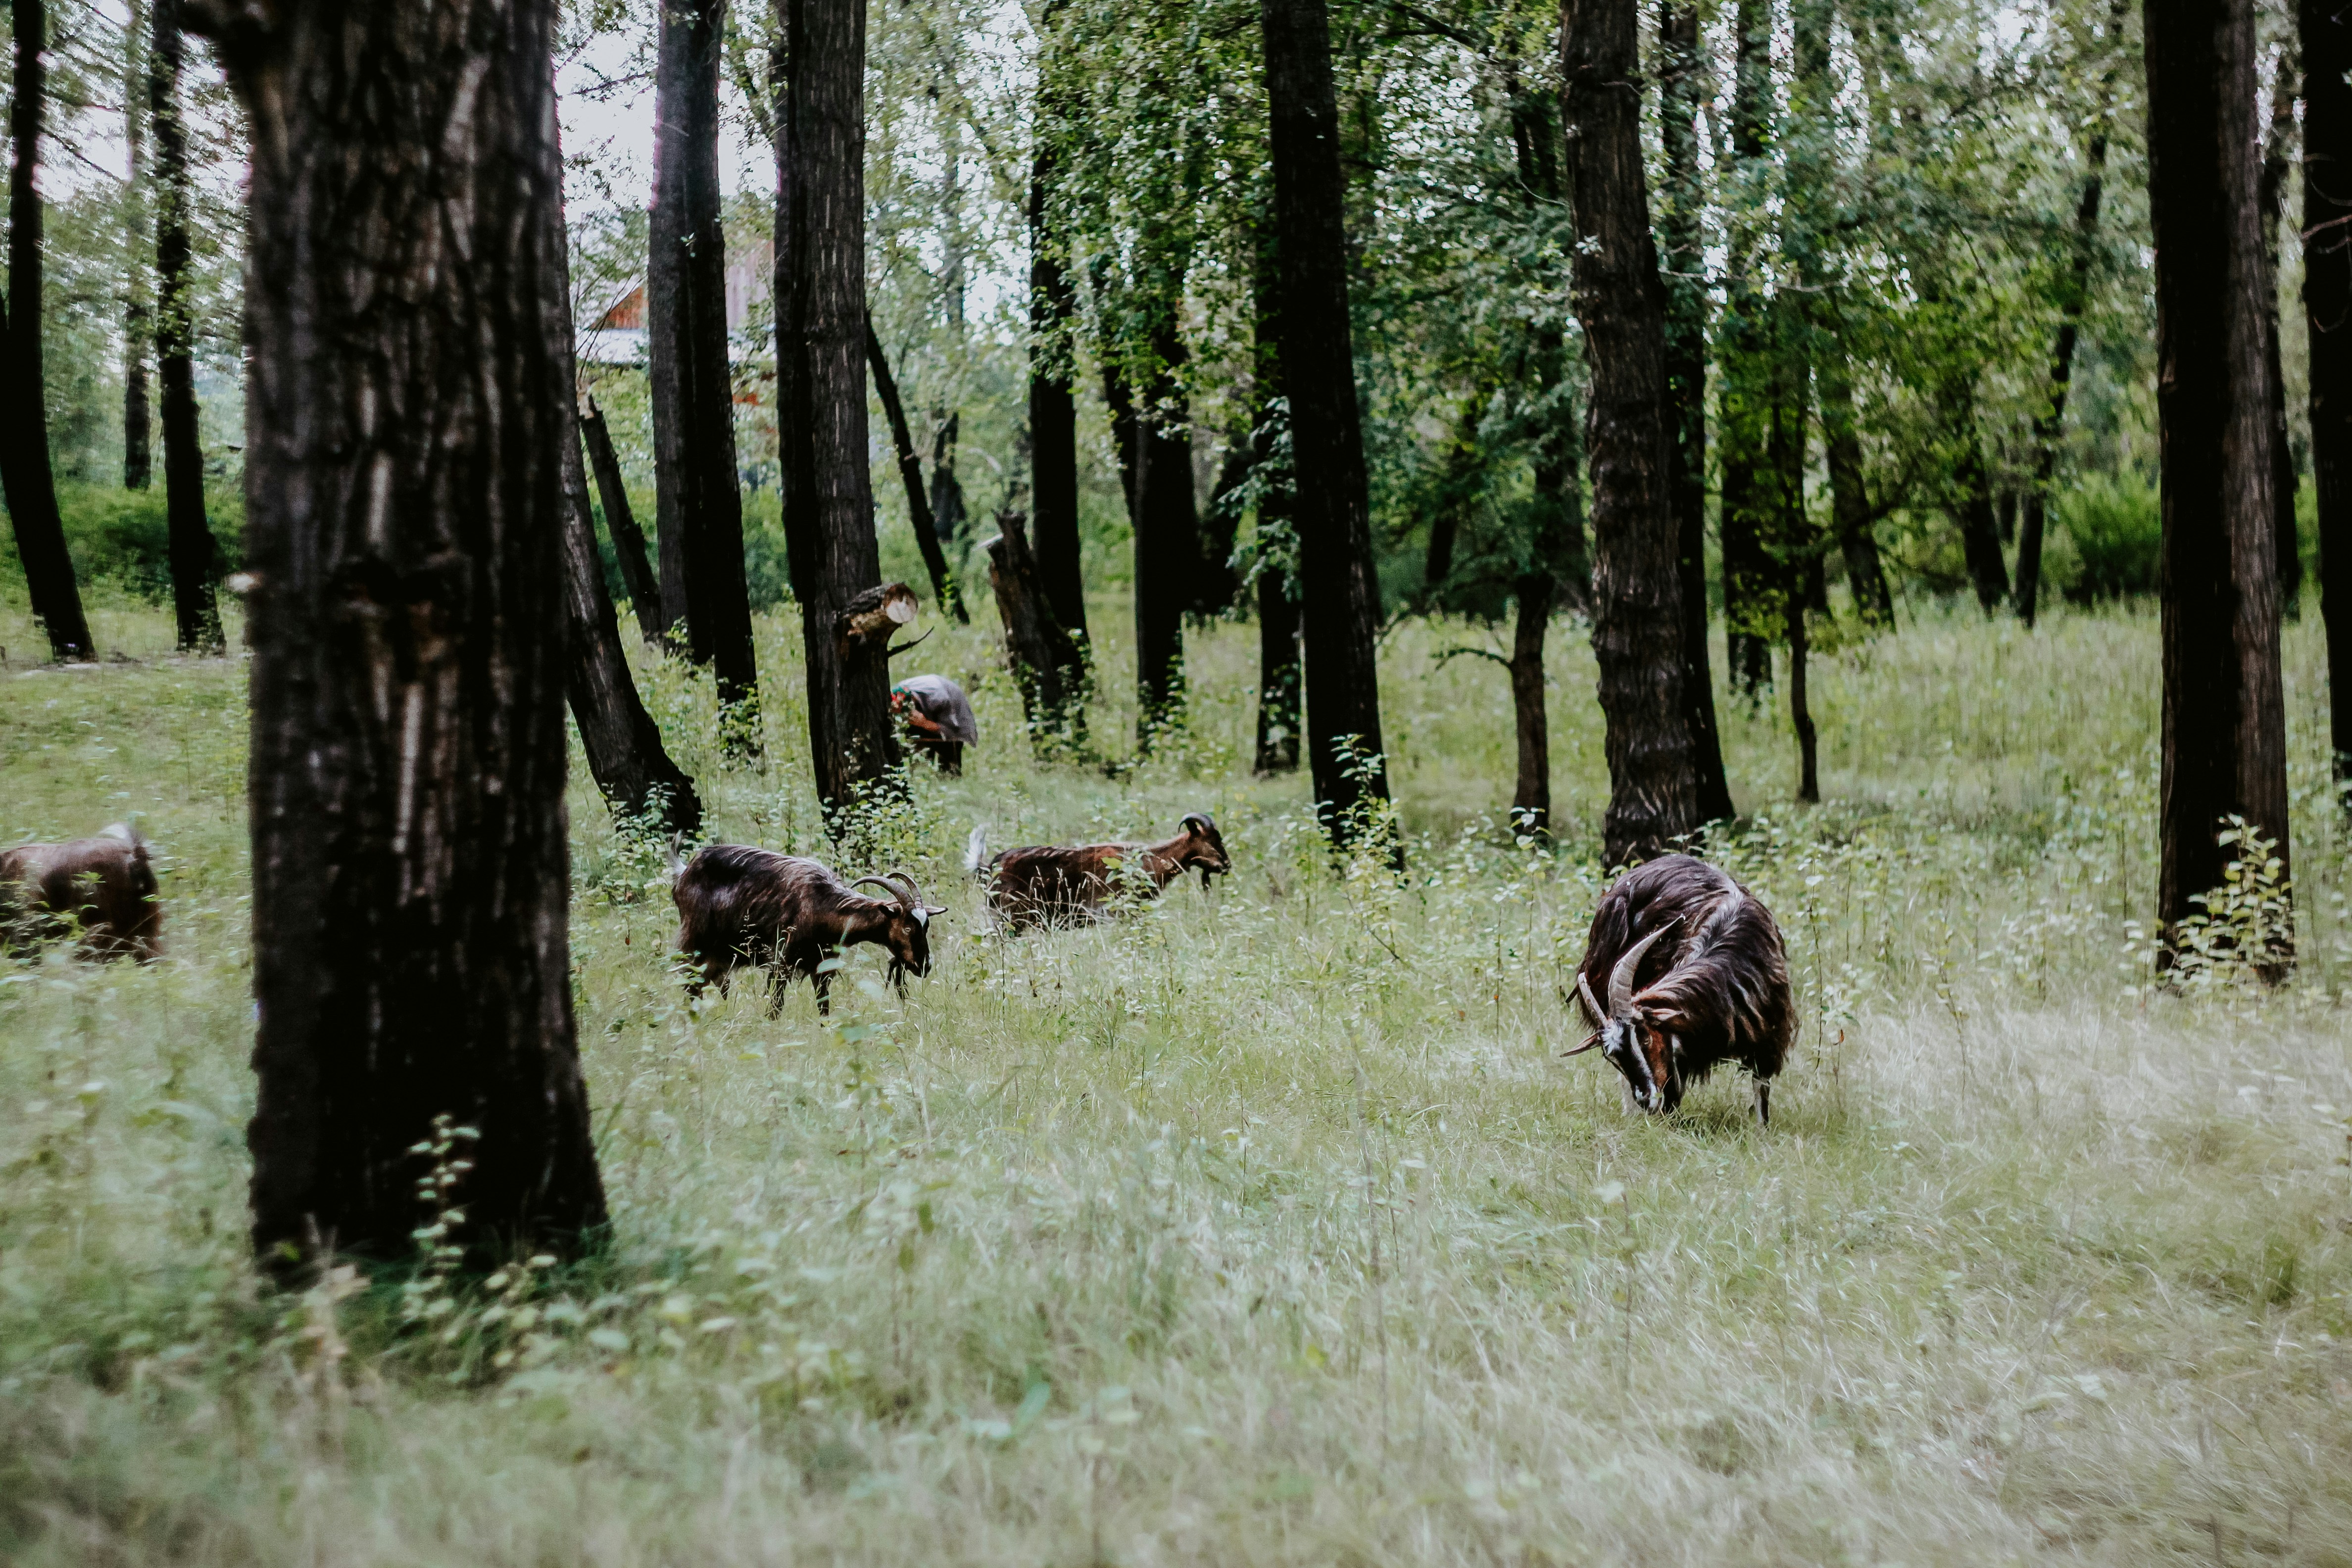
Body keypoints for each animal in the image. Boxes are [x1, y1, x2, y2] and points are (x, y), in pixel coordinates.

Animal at [671, 846, 945, 1014]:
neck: (821, 905)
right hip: (695, 943)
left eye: (926, 926)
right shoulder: (780, 963)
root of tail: (684, 872)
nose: (924, 965)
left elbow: (824, 1009)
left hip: (721, 956)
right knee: (690, 982)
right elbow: (775, 1008)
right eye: (907, 927)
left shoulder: (822, 969)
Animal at [965, 812, 1231, 932]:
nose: (1227, 865)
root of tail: (989, 867)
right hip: (1009, 919)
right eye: (1211, 841)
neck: (1145, 861)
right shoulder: (1112, 913)